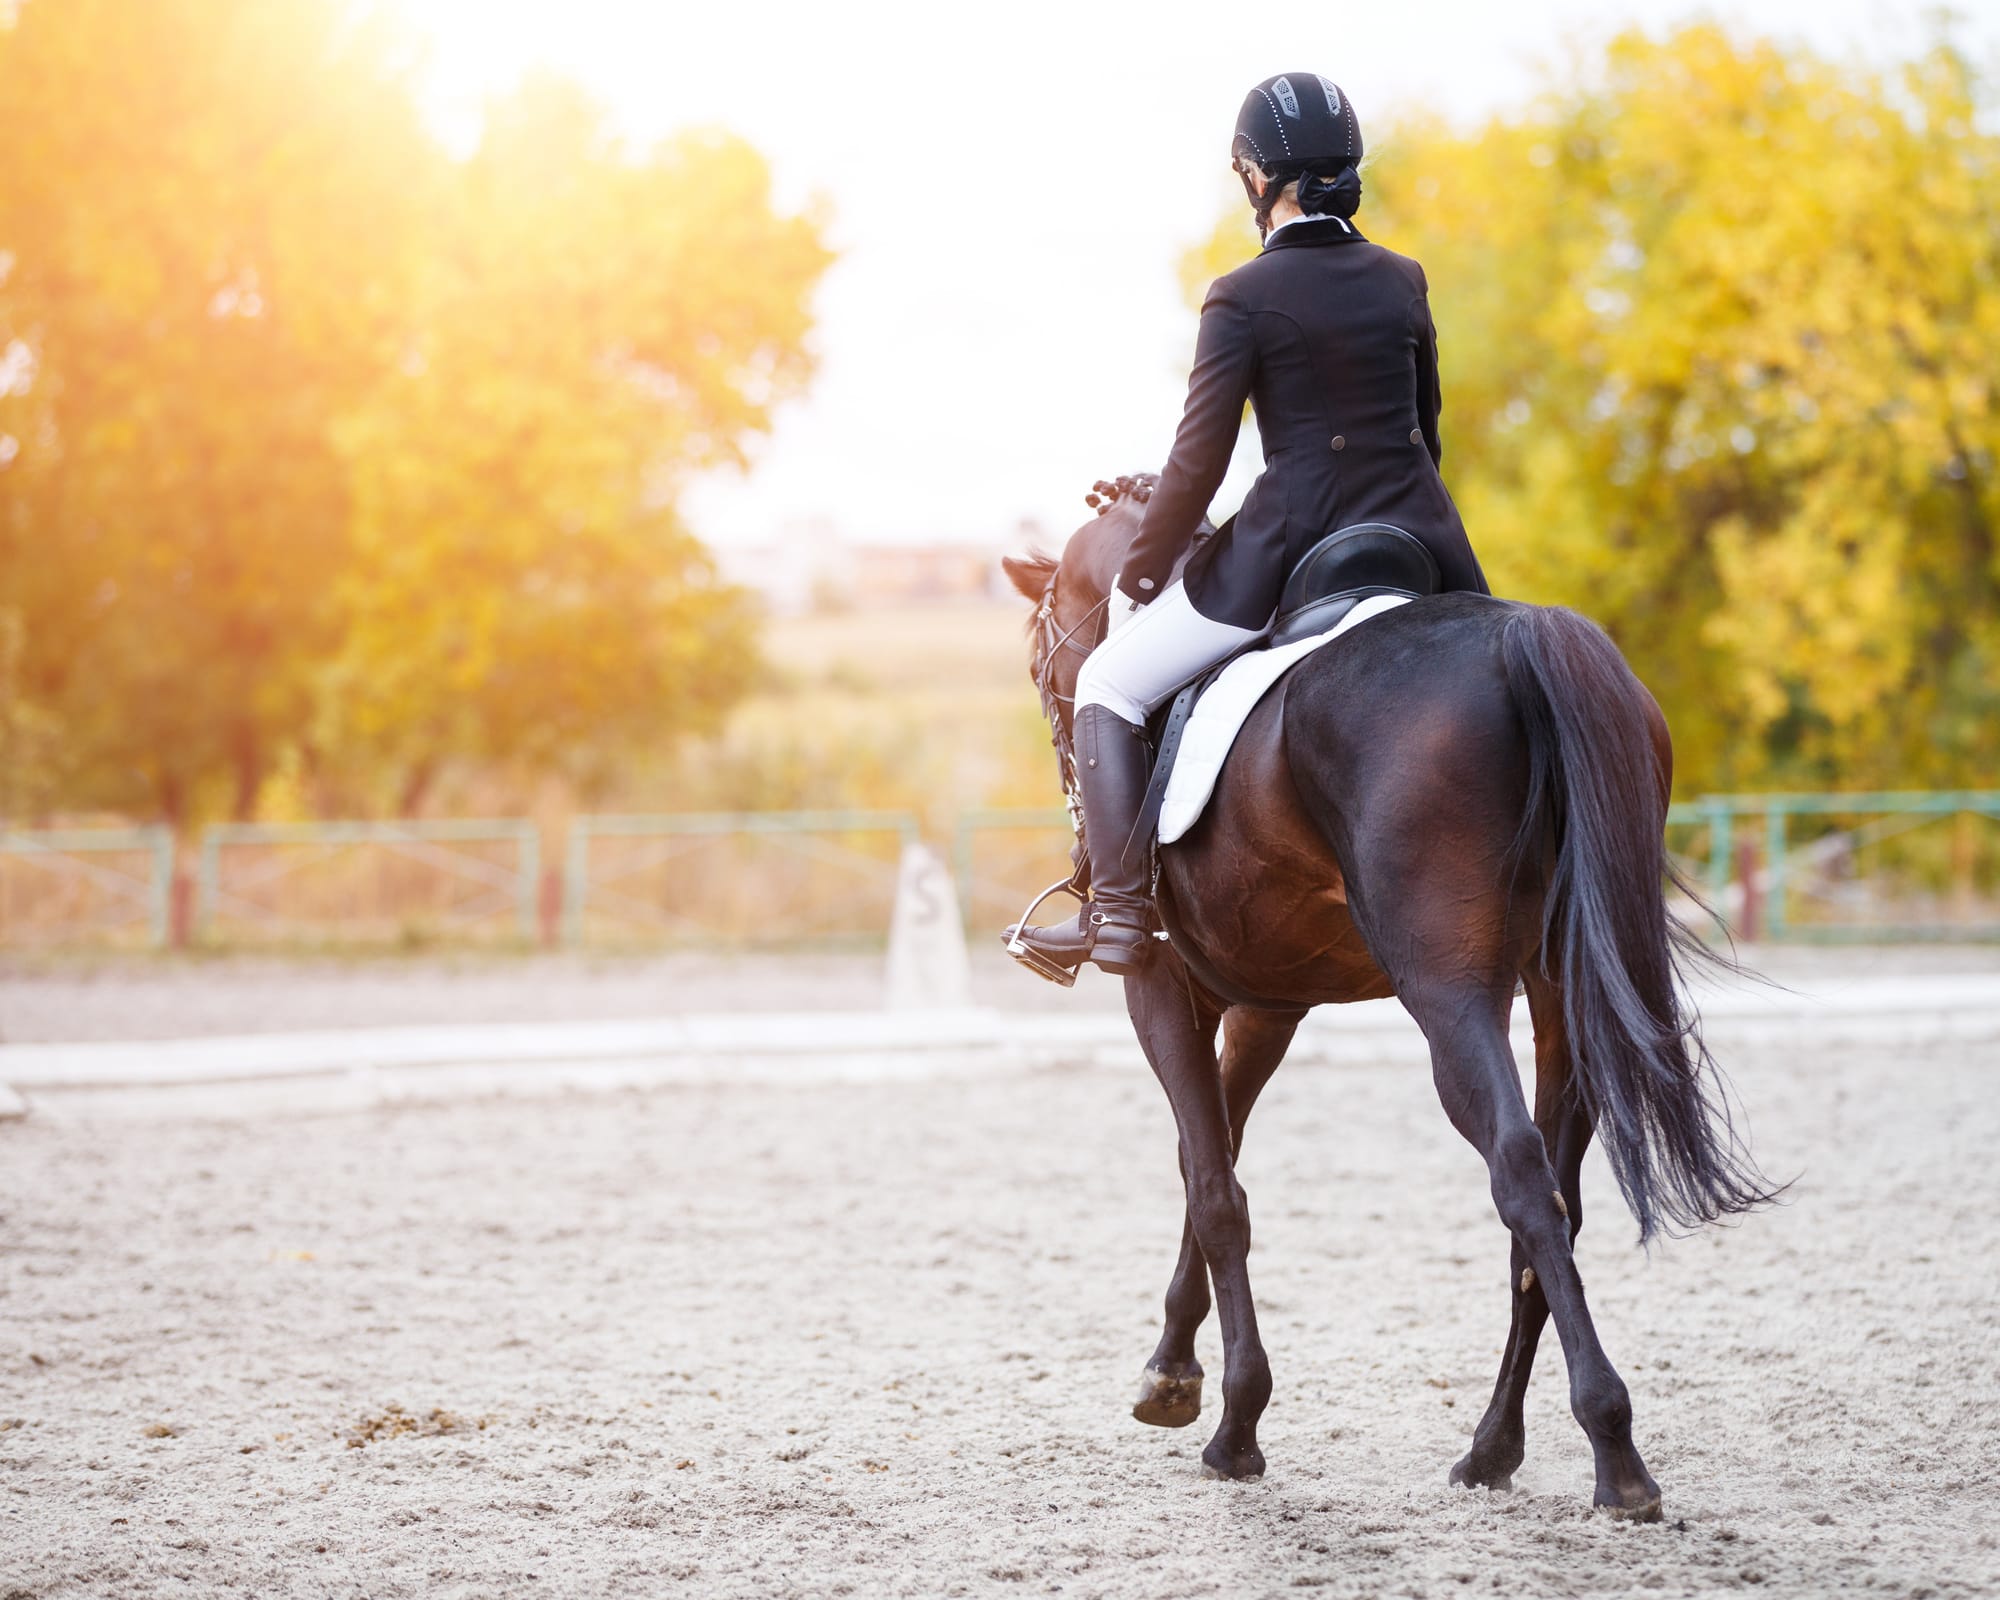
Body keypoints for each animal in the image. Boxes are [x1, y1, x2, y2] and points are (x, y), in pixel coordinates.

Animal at [1000, 476, 1784, 1512]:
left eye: (1039, 649)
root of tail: (1522, 635)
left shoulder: (1163, 989)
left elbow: (1213, 1185)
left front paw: (1232, 1424)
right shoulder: (1267, 1004)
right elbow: (1213, 1158)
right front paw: (1173, 1372)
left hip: (1450, 995)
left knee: (1520, 1174)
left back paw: (1615, 1457)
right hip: (1561, 1001)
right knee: (1555, 1206)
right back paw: (1492, 1450)